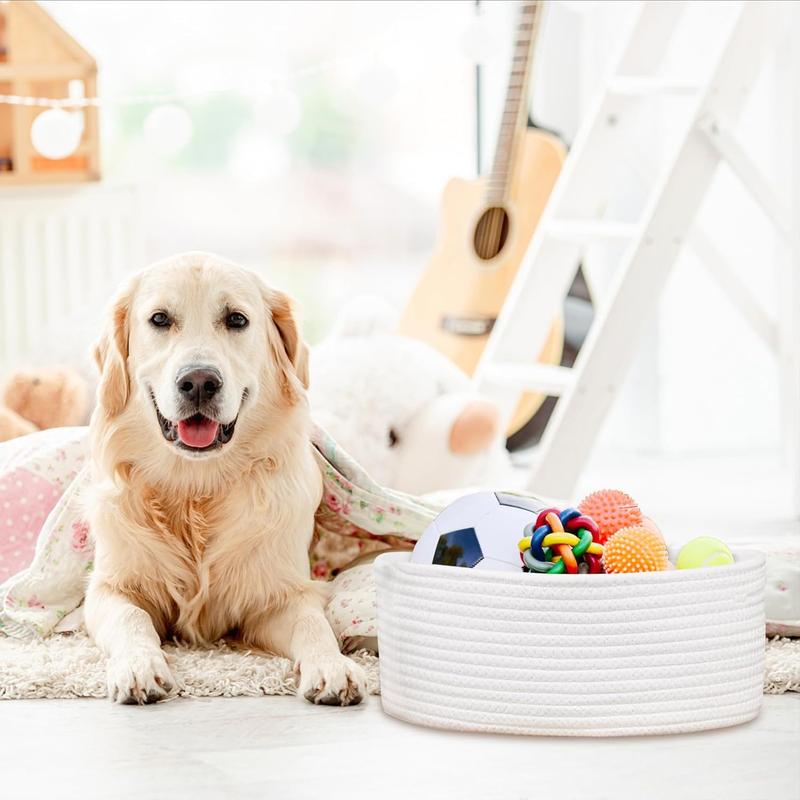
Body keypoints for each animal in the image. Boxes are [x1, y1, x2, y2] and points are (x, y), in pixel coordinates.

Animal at [83, 252, 366, 708]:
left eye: (236, 319)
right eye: (160, 319)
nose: (199, 382)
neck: (196, 490)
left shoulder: (280, 594)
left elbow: (313, 624)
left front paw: (332, 666)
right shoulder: (110, 587)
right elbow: (131, 616)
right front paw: (139, 666)